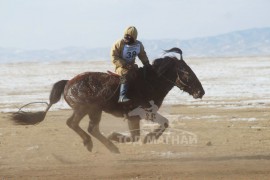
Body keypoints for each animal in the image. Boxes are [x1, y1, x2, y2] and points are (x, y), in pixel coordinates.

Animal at [11, 47, 205, 153]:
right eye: (186, 72)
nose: (200, 92)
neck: (149, 82)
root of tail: (68, 83)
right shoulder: (139, 114)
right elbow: (142, 133)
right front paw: (136, 137)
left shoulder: (140, 115)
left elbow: (159, 125)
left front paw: (145, 138)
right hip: (87, 109)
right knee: (76, 124)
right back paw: (98, 144)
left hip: (91, 111)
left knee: (89, 128)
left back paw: (106, 146)